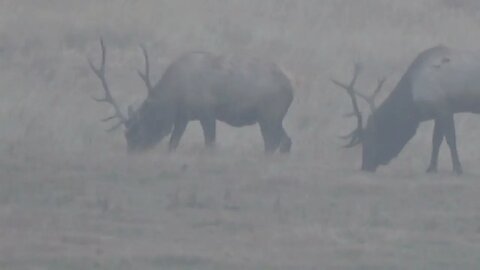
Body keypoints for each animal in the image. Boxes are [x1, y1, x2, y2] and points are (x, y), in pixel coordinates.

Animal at [88, 39, 294, 155]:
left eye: (137, 132)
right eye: (126, 135)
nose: (131, 154)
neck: (174, 97)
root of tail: (291, 90)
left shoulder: (207, 113)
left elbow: (210, 143)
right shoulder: (183, 117)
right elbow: (173, 143)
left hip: (269, 116)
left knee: (273, 143)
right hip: (272, 119)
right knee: (285, 142)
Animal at [334, 45, 480, 174]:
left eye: (370, 137)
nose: (365, 166)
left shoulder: (444, 110)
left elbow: (450, 140)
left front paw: (457, 169)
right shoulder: (439, 113)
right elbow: (436, 141)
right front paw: (431, 169)